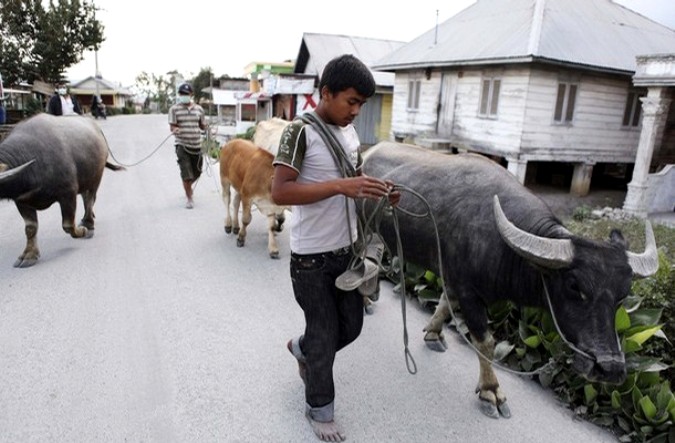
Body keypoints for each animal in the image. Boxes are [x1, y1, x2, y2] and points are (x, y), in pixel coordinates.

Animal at [0, 113, 124, 268]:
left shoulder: (68, 193)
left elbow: (68, 225)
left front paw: (82, 231)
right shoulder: (22, 201)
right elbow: (30, 229)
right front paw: (29, 255)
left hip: (96, 176)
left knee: (90, 199)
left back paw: (88, 224)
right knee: (86, 197)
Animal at [362, 143, 656, 420]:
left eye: (623, 294)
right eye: (575, 287)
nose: (610, 368)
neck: (503, 245)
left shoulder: (454, 280)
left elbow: (445, 303)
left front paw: (434, 334)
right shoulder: (469, 292)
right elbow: (486, 342)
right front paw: (491, 392)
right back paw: (366, 300)